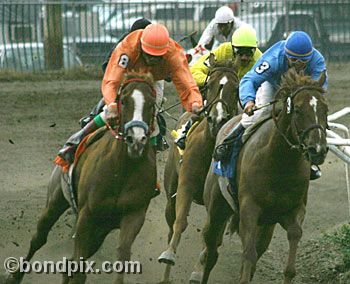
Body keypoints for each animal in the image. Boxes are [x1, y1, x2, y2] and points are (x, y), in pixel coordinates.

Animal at [6, 72, 157, 284]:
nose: (136, 140)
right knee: (39, 238)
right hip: (55, 201)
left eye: (151, 103)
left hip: (100, 230)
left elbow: (122, 255)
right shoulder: (87, 215)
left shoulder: (133, 215)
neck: (122, 170)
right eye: (124, 100)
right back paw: (14, 276)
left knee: (69, 263)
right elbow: (79, 266)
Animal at [159, 54, 241, 282]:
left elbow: (211, 241)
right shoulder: (186, 184)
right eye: (210, 84)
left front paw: (198, 271)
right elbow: (180, 222)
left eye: (236, 88)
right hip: (171, 188)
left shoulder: (221, 202)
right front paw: (169, 254)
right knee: (171, 223)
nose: (218, 119)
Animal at [189, 69, 328, 284]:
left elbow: (293, 244)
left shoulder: (293, 210)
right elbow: (248, 255)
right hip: (216, 208)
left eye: (325, 109)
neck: (279, 164)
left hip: (266, 223)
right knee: (211, 249)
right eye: (297, 109)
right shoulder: (250, 210)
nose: (318, 149)